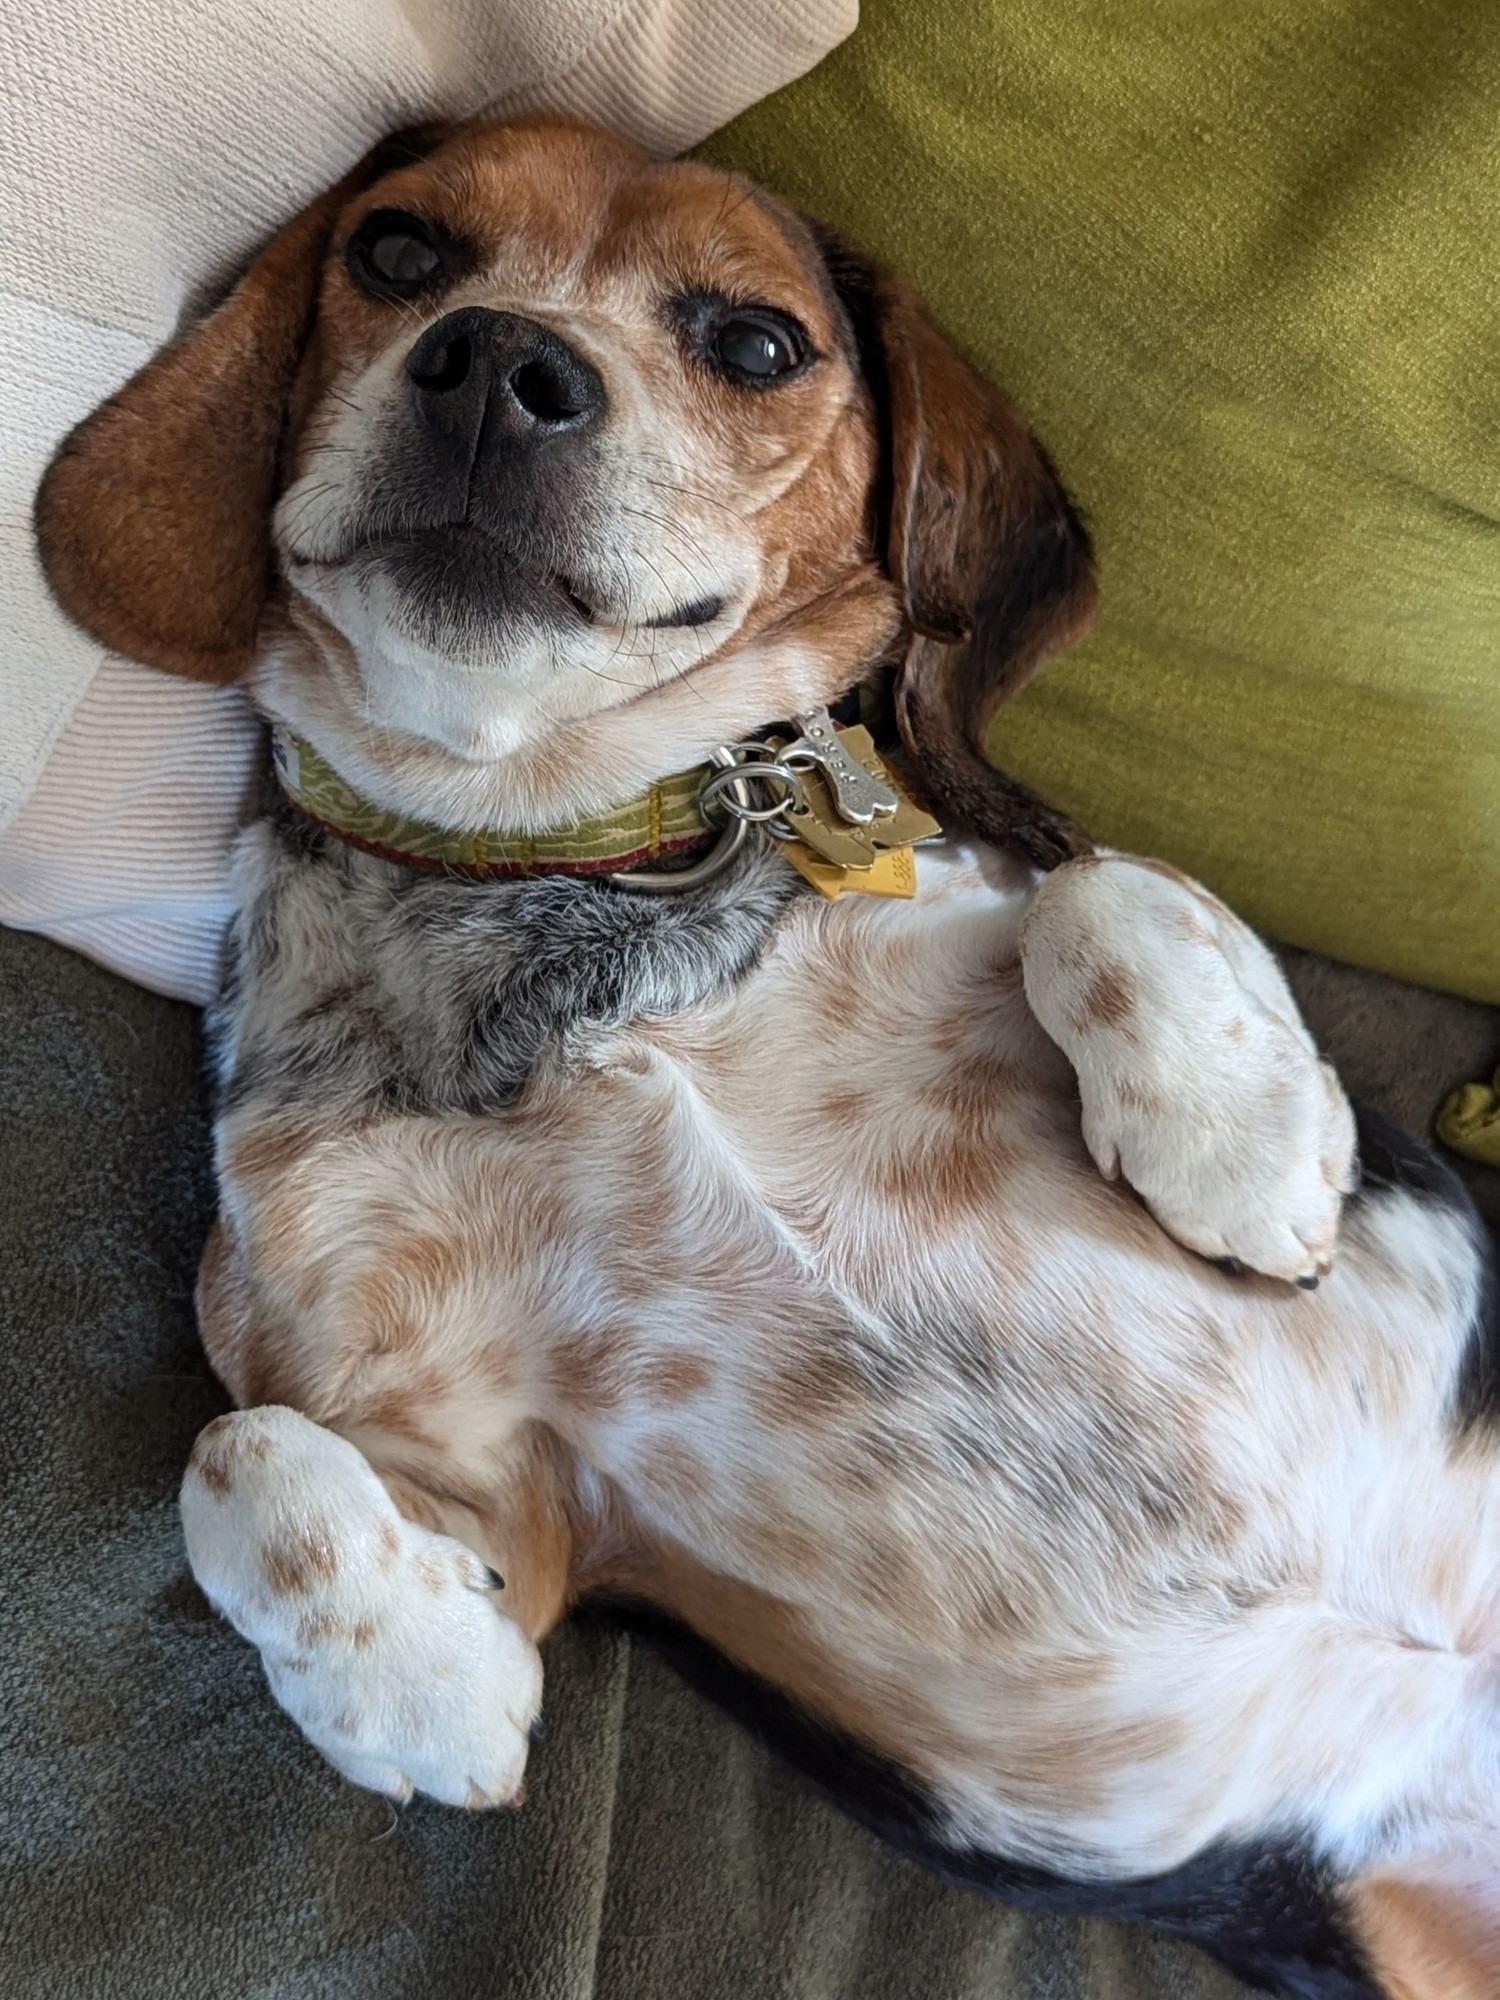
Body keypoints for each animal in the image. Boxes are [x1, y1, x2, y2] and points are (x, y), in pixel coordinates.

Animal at [32, 117, 1500, 1992]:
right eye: (399, 251)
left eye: (754, 341)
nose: (497, 367)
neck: (554, 867)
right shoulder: (497, 1483)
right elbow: (236, 1455)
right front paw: (424, 1683)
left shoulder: (1001, 866)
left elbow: (1098, 884)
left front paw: (1241, 1148)